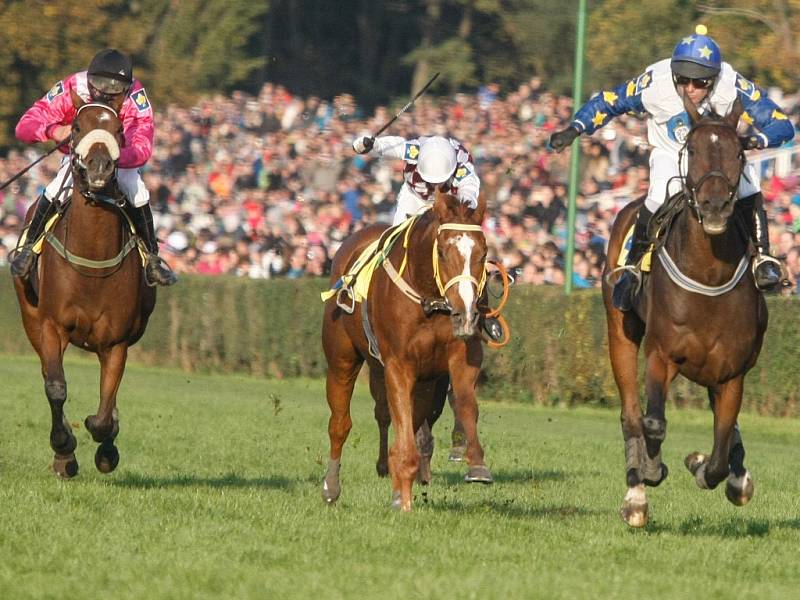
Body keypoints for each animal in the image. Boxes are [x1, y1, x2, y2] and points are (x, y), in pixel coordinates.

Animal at [12, 88, 155, 478]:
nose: (100, 168)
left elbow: (106, 411)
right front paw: (64, 450)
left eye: (119, 129)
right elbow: (56, 387)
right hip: (30, 318)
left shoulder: (117, 340)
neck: (91, 259)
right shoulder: (51, 325)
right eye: (76, 127)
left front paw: (105, 447)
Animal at [322, 192, 490, 510]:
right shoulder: (398, 365)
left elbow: (465, 403)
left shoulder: (460, 359)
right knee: (339, 423)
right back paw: (331, 485)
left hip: (422, 381)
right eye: (443, 253)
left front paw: (476, 464)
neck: (430, 299)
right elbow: (398, 418)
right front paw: (404, 498)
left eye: (483, 254)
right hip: (342, 359)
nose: (465, 313)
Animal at [604, 96, 764, 528]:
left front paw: (704, 465)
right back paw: (636, 494)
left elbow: (722, 450)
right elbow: (653, 423)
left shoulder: (731, 372)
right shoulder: (661, 354)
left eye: (739, 152)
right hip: (620, 334)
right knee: (630, 415)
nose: (714, 205)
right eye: (691, 149)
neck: (707, 275)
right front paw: (650, 471)